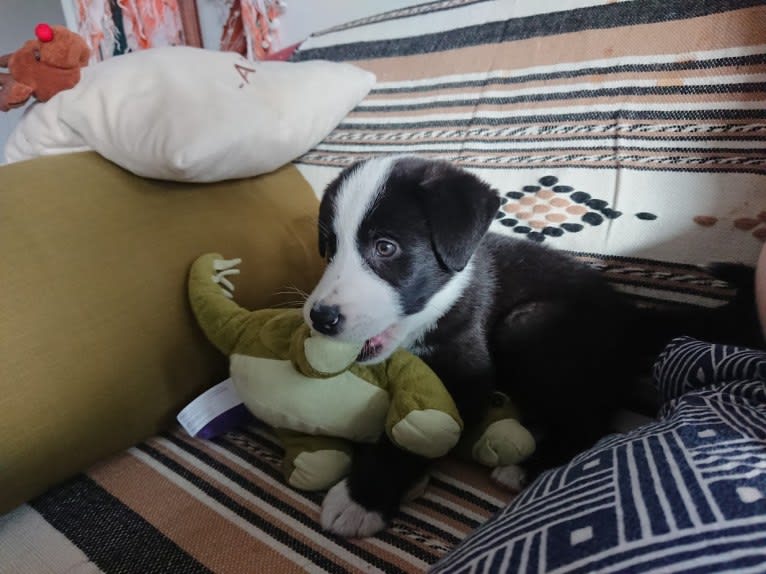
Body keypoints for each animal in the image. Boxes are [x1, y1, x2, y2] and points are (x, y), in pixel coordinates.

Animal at [304, 154, 760, 540]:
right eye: (328, 247)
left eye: (386, 247)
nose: (320, 318)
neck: (441, 301)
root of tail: (631, 315)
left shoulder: (466, 376)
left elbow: (412, 436)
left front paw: (360, 499)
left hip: (526, 325)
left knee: (592, 419)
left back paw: (525, 467)